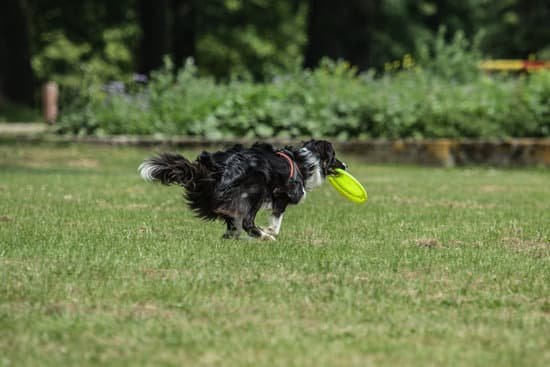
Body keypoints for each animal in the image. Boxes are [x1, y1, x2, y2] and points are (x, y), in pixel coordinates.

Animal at [139, 139, 344, 240]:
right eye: (334, 156)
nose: (346, 165)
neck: (304, 160)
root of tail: (212, 168)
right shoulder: (283, 195)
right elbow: (277, 220)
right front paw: (270, 231)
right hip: (256, 189)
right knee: (247, 222)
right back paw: (264, 237)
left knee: (234, 223)